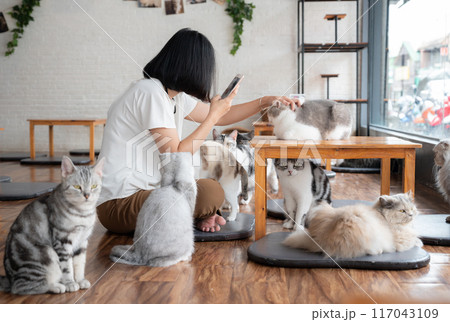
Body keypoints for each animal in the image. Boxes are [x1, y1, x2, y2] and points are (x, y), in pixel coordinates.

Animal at [0, 156, 104, 294]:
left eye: (94, 186)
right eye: (77, 186)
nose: (87, 195)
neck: (82, 214)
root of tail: (9, 279)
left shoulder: (82, 241)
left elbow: (79, 263)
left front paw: (80, 280)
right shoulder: (62, 241)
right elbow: (67, 267)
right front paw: (70, 283)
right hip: (45, 253)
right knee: (22, 287)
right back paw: (57, 286)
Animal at [284, 191, 424, 260]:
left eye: (412, 209)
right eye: (402, 211)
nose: (411, 215)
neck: (383, 217)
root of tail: (320, 239)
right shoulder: (401, 239)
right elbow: (414, 240)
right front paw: (420, 243)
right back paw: (378, 251)